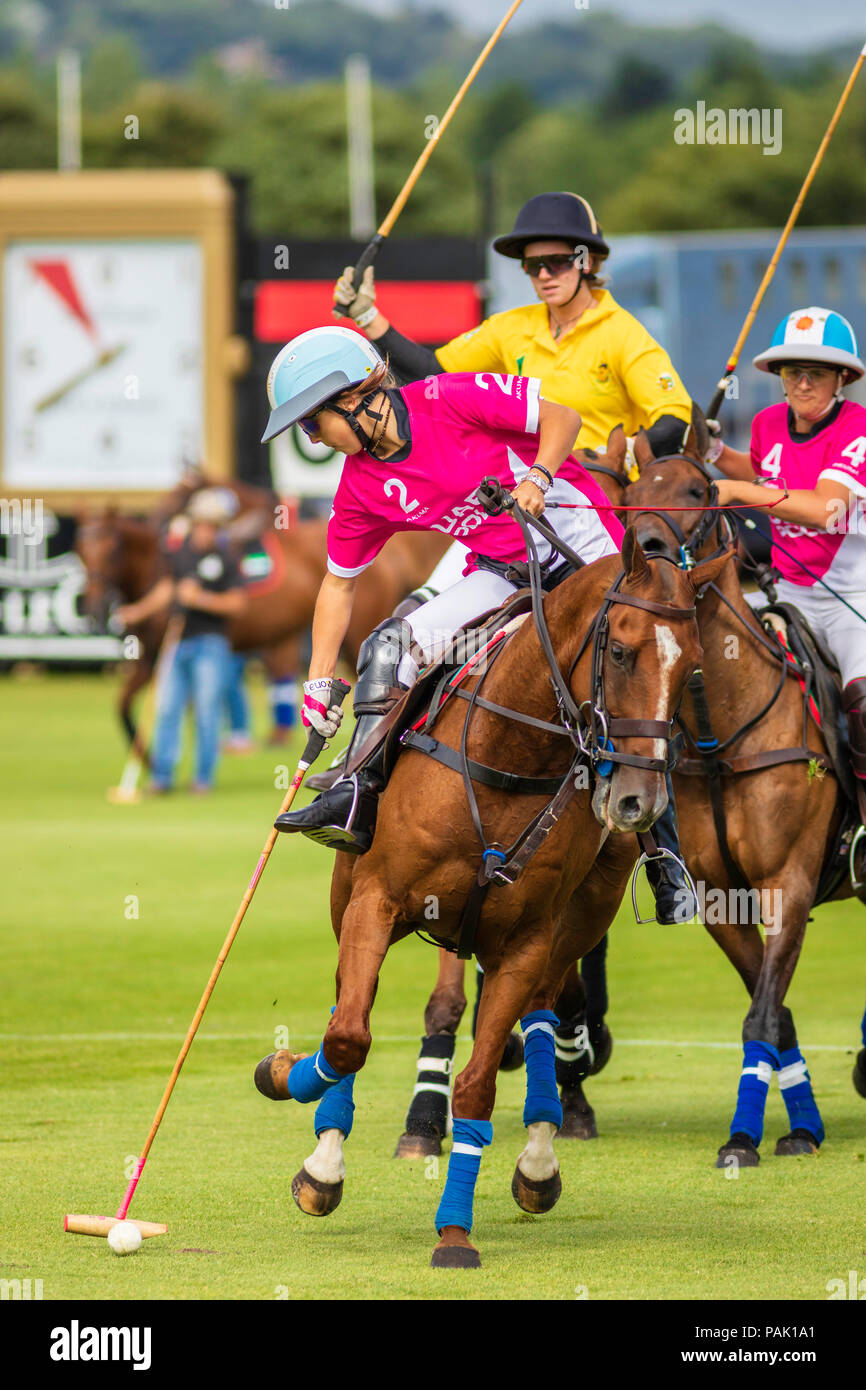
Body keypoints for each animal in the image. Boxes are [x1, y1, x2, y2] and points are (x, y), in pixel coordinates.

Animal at [254, 525, 728, 1267]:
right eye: (621, 651)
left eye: (692, 671)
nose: (636, 802)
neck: (512, 755)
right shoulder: (375, 901)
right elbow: (347, 1038)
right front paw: (298, 1115)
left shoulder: (527, 940)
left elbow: (476, 1085)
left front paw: (455, 1232)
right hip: (350, 896)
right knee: (345, 1008)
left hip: (577, 920)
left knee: (542, 1018)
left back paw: (539, 1157)